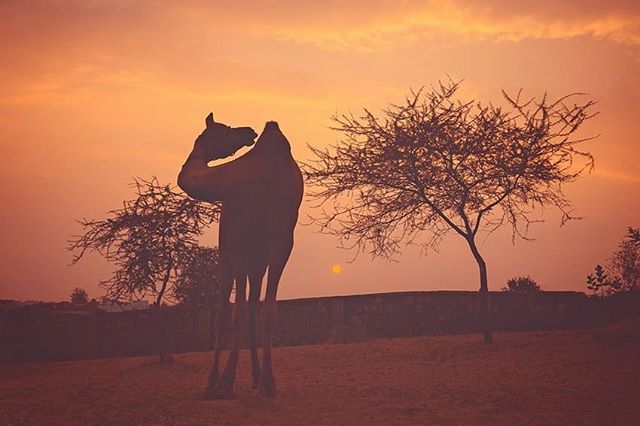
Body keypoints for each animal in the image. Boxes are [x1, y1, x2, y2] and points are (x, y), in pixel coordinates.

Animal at [177, 113, 303, 399]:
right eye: (227, 128)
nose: (248, 132)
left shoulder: (244, 244)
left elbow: (238, 315)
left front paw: (227, 382)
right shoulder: (271, 244)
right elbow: (253, 313)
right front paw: (257, 380)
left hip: (239, 255)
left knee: (231, 313)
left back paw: (229, 380)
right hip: (255, 255)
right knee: (247, 311)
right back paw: (252, 378)